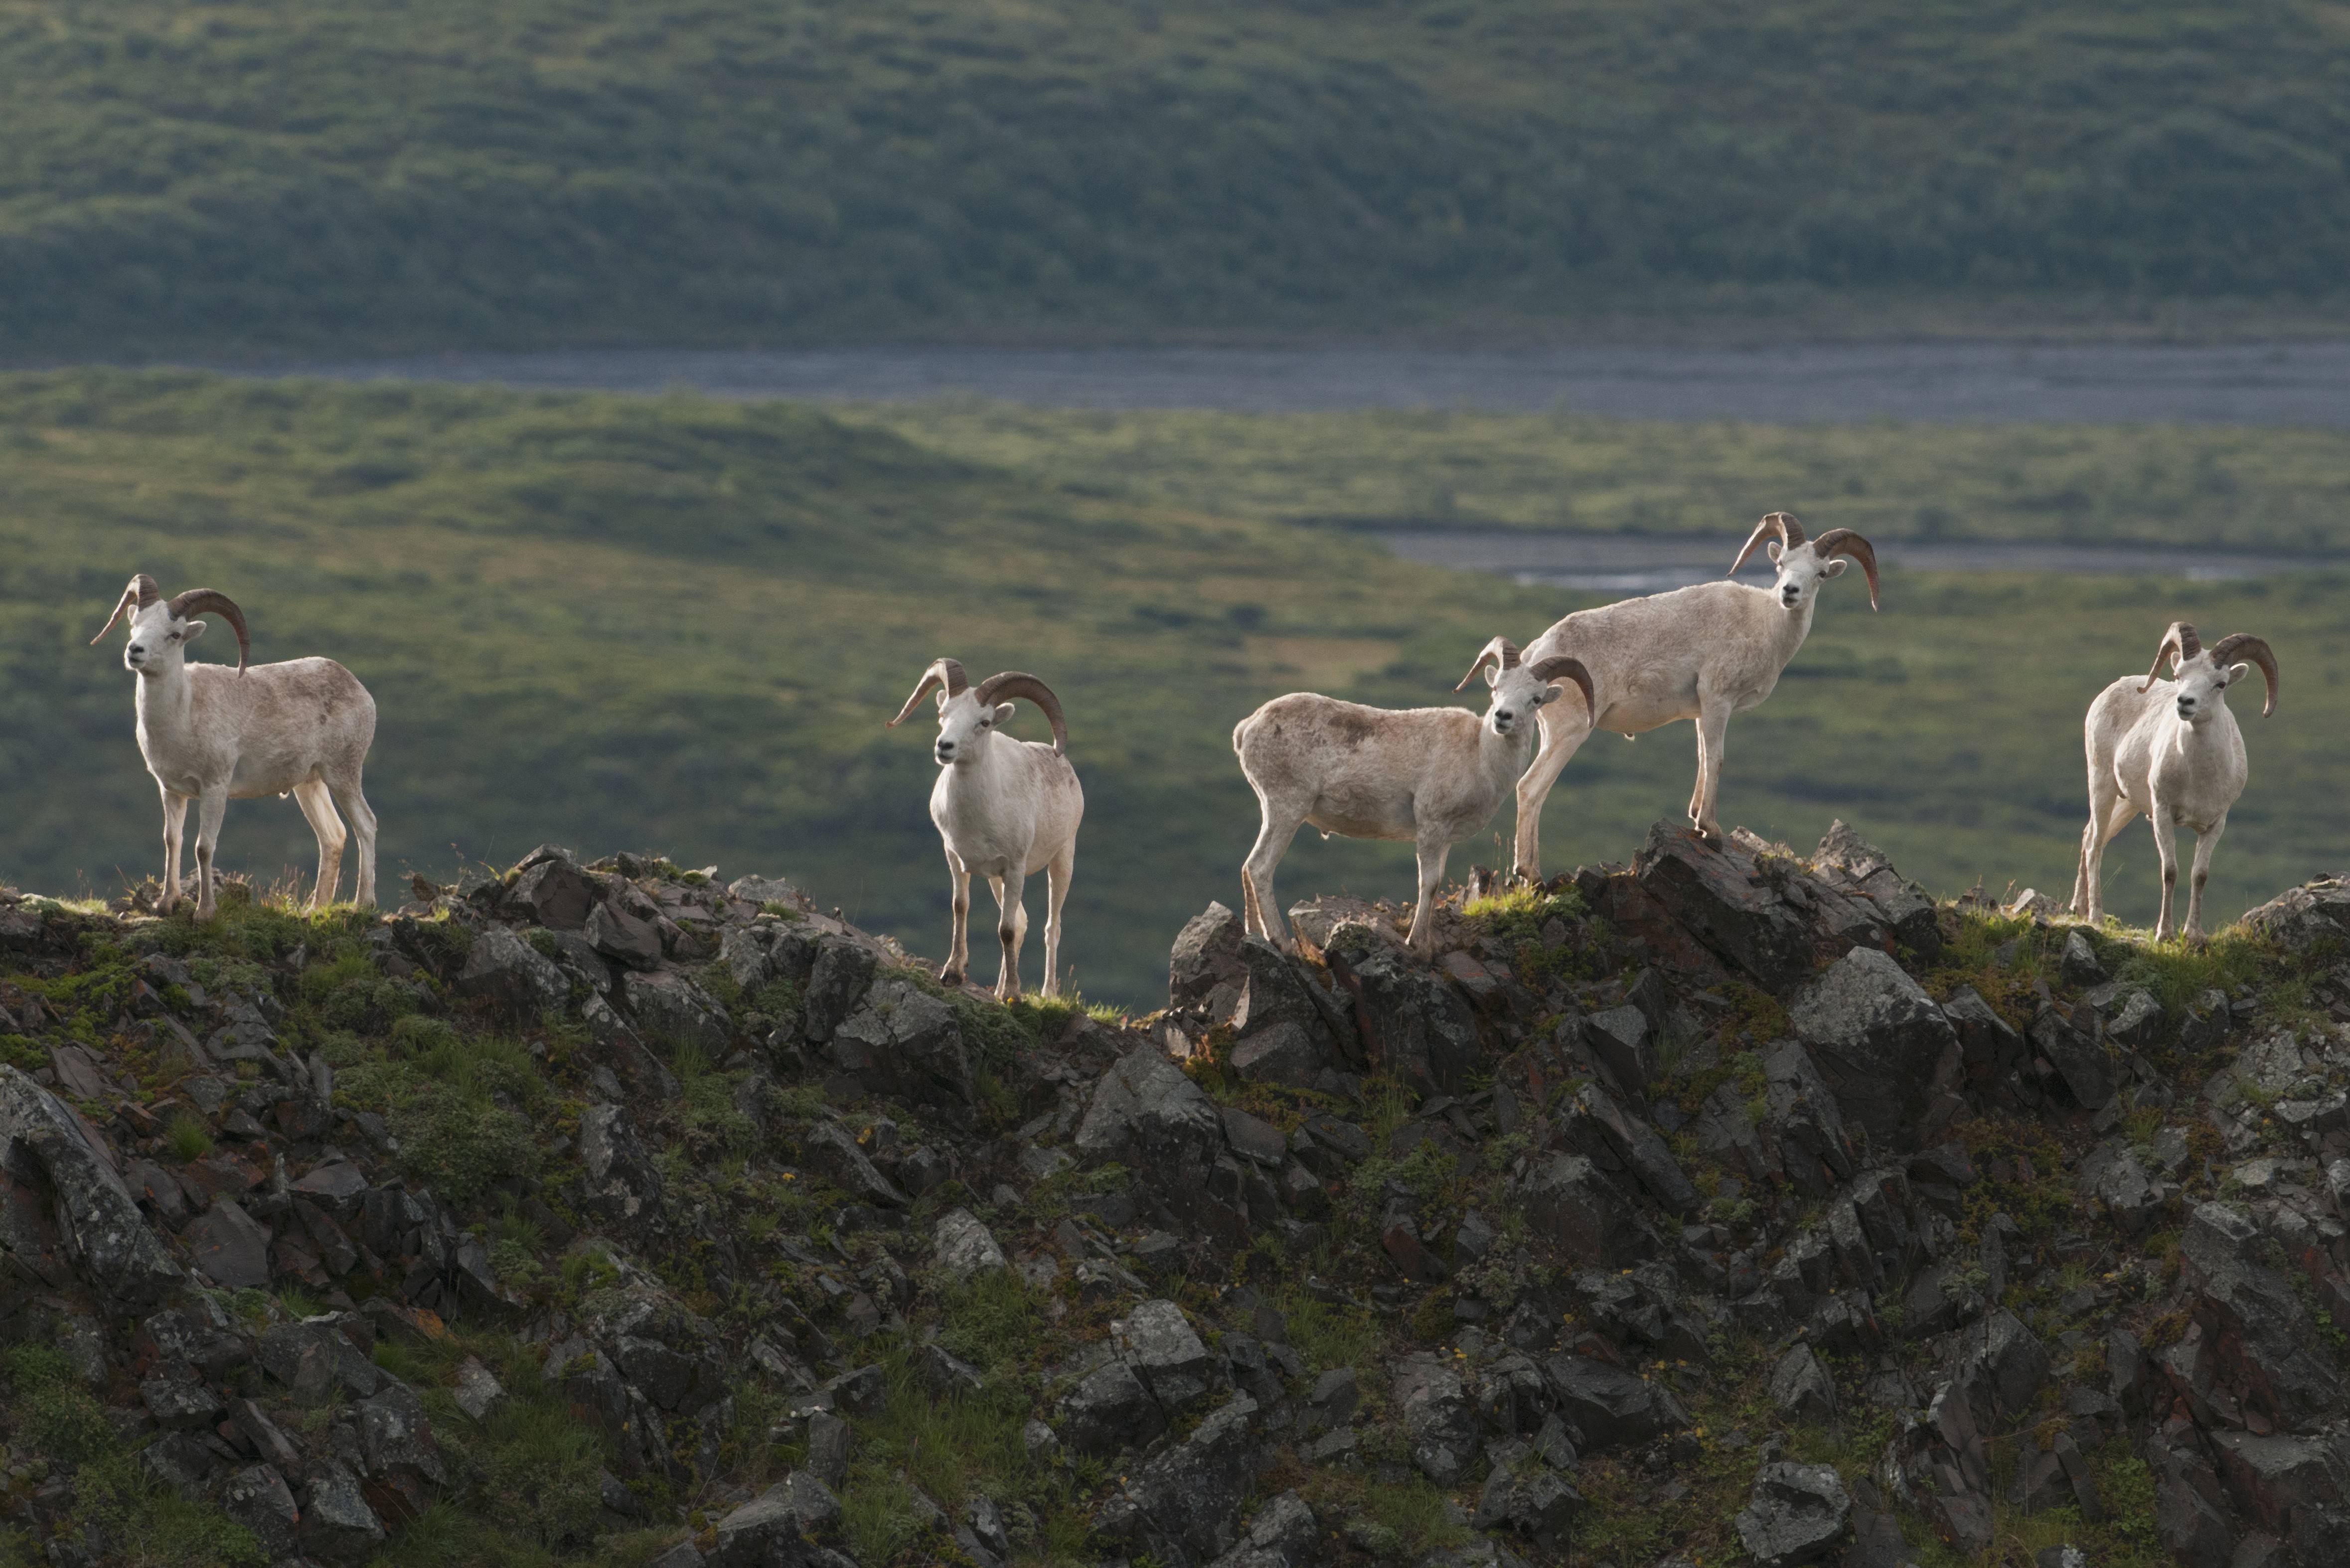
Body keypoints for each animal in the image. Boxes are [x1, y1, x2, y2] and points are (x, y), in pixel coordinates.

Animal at [90, 574, 379, 920]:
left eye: (174, 635)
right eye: (135, 625)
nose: (135, 651)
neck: (184, 714)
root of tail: (359, 690)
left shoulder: (215, 787)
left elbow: (203, 848)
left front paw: (204, 913)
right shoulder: (171, 791)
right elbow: (172, 841)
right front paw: (166, 904)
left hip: (343, 775)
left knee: (366, 826)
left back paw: (363, 904)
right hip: (309, 785)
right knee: (333, 837)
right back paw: (314, 910)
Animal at [887, 658, 1083, 1001]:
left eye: (984, 722)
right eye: (944, 714)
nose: (944, 746)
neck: (975, 818)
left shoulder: (1015, 868)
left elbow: (1005, 929)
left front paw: (1014, 997)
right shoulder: (956, 858)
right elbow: (962, 908)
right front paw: (952, 974)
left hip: (1062, 862)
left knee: (1051, 928)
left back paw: (1047, 995)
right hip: (996, 881)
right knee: (1022, 923)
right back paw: (999, 991)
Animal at [1233, 636, 1594, 957]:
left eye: (1535, 698)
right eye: (1496, 689)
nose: (1502, 717)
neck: (1479, 756)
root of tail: (1248, 726)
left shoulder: (1445, 838)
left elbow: (1434, 884)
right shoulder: (1431, 827)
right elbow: (1429, 883)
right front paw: (1417, 946)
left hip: (1274, 810)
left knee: (1249, 867)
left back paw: (1256, 935)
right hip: (1286, 809)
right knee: (1260, 868)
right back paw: (1283, 943)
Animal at [1508, 511, 1878, 871]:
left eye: (1820, 573)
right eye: (1781, 564)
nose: (1789, 592)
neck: (1763, 624)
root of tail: (1535, 655)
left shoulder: (1702, 710)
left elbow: (1702, 756)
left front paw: (1696, 818)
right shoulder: (1718, 699)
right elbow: (1716, 758)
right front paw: (1710, 831)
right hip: (1569, 731)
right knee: (1530, 789)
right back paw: (1529, 874)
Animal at [2070, 621, 2278, 942]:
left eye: (2220, 684)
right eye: (2179, 675)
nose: (2185, 702)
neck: (2198, 779)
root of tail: (2109, 692)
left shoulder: (2216, 824)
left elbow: (2199, 875)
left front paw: (2193, 934)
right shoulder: (2163, 814)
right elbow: (2170, 871)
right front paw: (2164, 933)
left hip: (2127, 803)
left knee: (2089, 835)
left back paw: (2078, 909)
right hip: (2102, 785)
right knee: (2094, 845)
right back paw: (2096, 917)